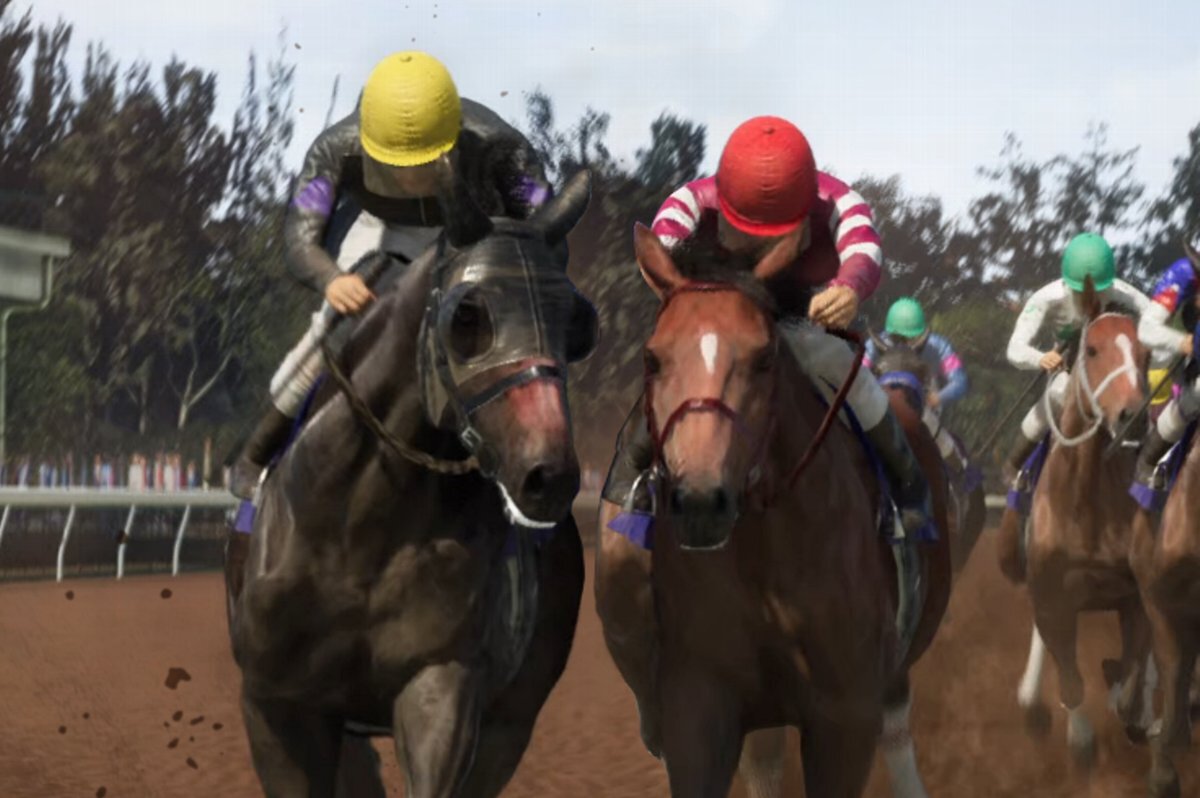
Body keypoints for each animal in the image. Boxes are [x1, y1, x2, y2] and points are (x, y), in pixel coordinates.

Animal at [225, 170, 596, 797]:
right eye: (467, 317)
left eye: (577, 324)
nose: (549, 476)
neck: (362, 528)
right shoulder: (273, 705)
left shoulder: (444, 685)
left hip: (512, 720)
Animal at [604, 223, 951, 797]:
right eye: (653, 359)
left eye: (764, 358)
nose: (701, 501)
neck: (763, 558)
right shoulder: (699, 702)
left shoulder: (846, 712)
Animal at [1008, 282, 1157, 769]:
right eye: (1091, 349)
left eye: (1148, 354)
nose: (1133, 417)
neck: (1087, 501)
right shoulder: (1052, 595)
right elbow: (1070, 679)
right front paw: (1080, 738)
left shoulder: (1135, 593)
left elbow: (1134, 670)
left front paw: (1130, 707)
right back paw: (1030, 699)